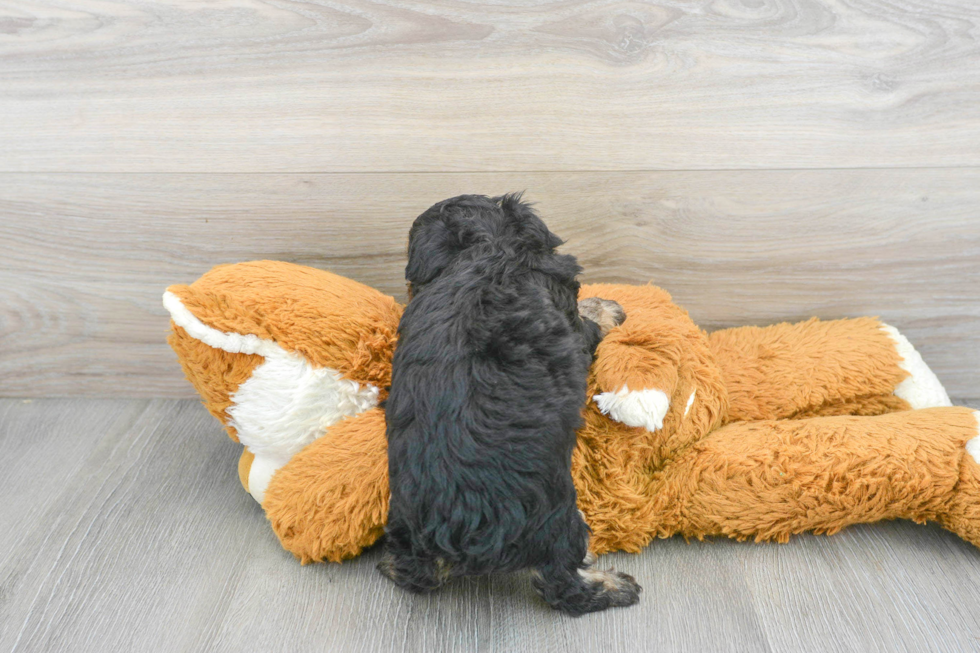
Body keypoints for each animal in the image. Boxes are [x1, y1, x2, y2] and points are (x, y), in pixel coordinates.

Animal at [378, 191, 640, 612]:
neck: (485, 250)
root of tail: (460, 530)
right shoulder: (568, 312)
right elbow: (588, 321)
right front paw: (608, 308)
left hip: (405, 521)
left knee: (410, 570)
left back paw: (389, 563)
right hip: (555, 519)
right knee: (562, 584)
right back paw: (614, 586)